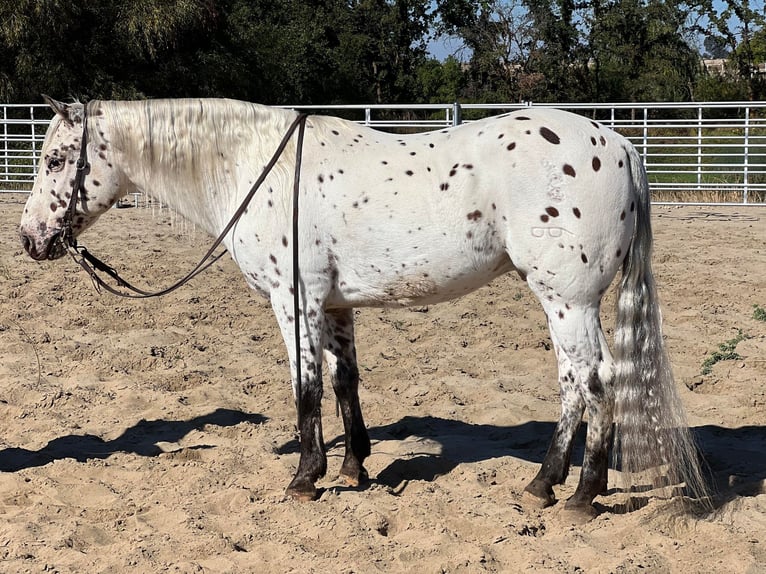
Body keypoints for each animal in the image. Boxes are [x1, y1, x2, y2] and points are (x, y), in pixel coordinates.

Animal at [18, 97, 712, 520]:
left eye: (55, 158)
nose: (29, 240)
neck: (254, 167)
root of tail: (619, 145)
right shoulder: (334, 305)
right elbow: (343, 381)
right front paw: (354, 467)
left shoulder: (293, 301)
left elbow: (303, 387)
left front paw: (305, 476)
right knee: (578, 384)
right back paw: (545, 484)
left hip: (568, 300)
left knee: (594, 382)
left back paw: (581, 493)